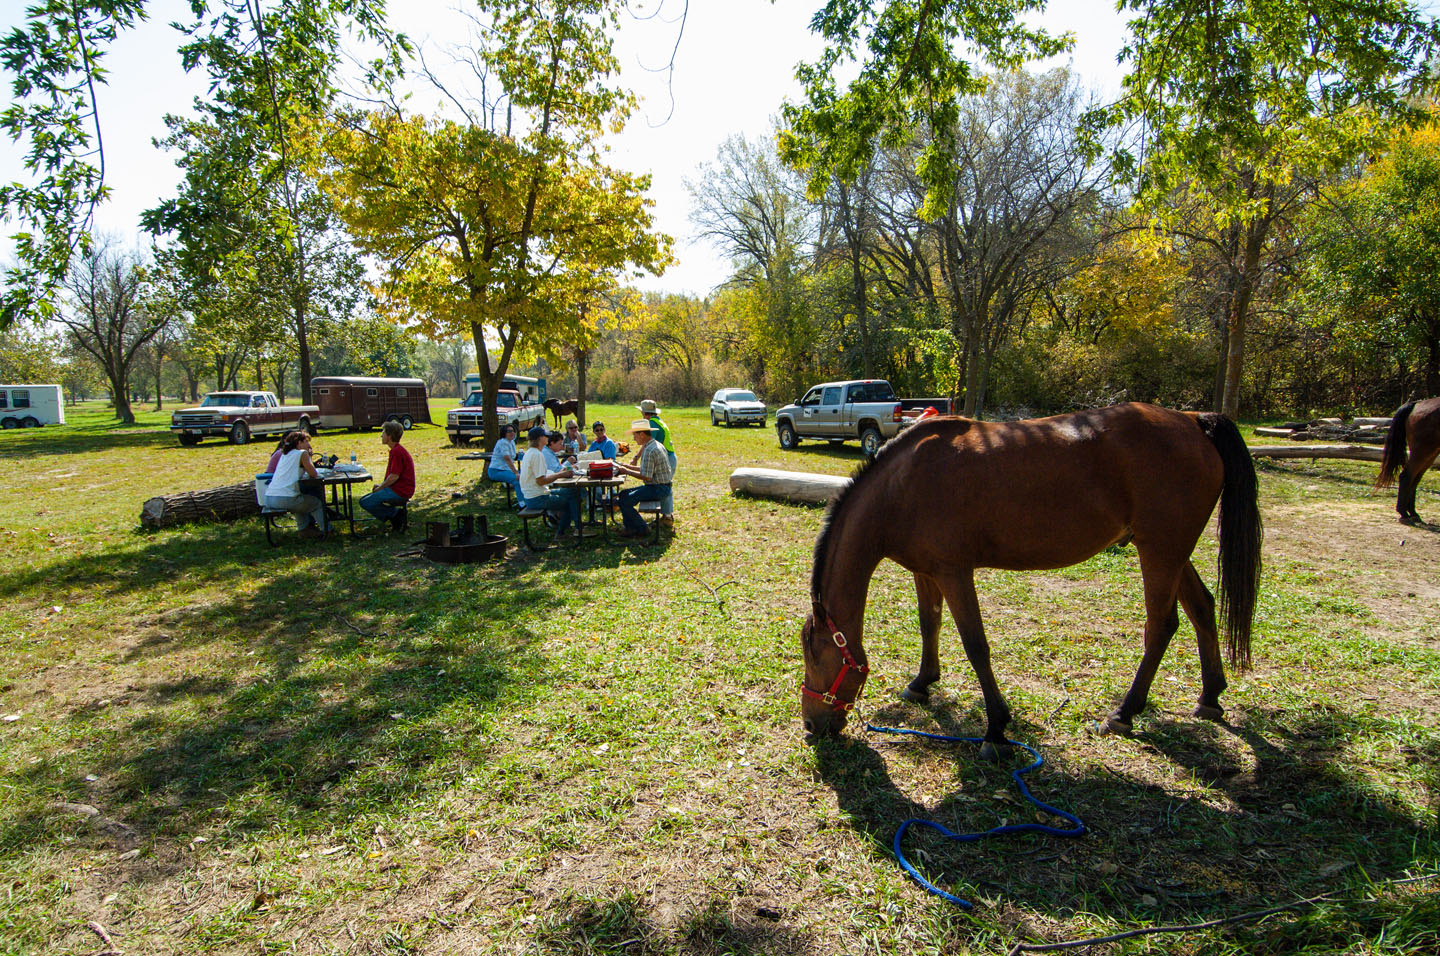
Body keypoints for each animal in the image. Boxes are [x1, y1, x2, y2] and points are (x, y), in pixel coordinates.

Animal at [800, 403, 1261, 754]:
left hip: (1160, 552)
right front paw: (922, 683)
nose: (811, 724)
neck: (902, 485)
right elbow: (929, 623)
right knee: (1202, 608)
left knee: (1161, 626)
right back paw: (1210, 697)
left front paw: (995, 730)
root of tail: (1192, 420)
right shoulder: (926, 571)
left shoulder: (954, 572)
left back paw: (1124, 713)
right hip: (1171, 552)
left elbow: (975, 645)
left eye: (814, 654)